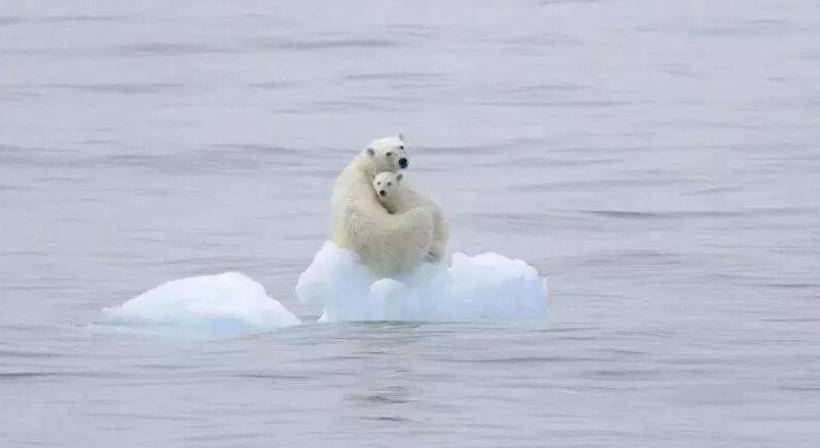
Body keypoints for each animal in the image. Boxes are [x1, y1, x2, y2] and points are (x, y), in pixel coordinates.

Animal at [332, 135, 436, 278]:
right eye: (388, 153)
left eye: (401, 146)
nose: (403, 161)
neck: (364, 166)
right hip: (401, 236)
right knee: (421, 218)